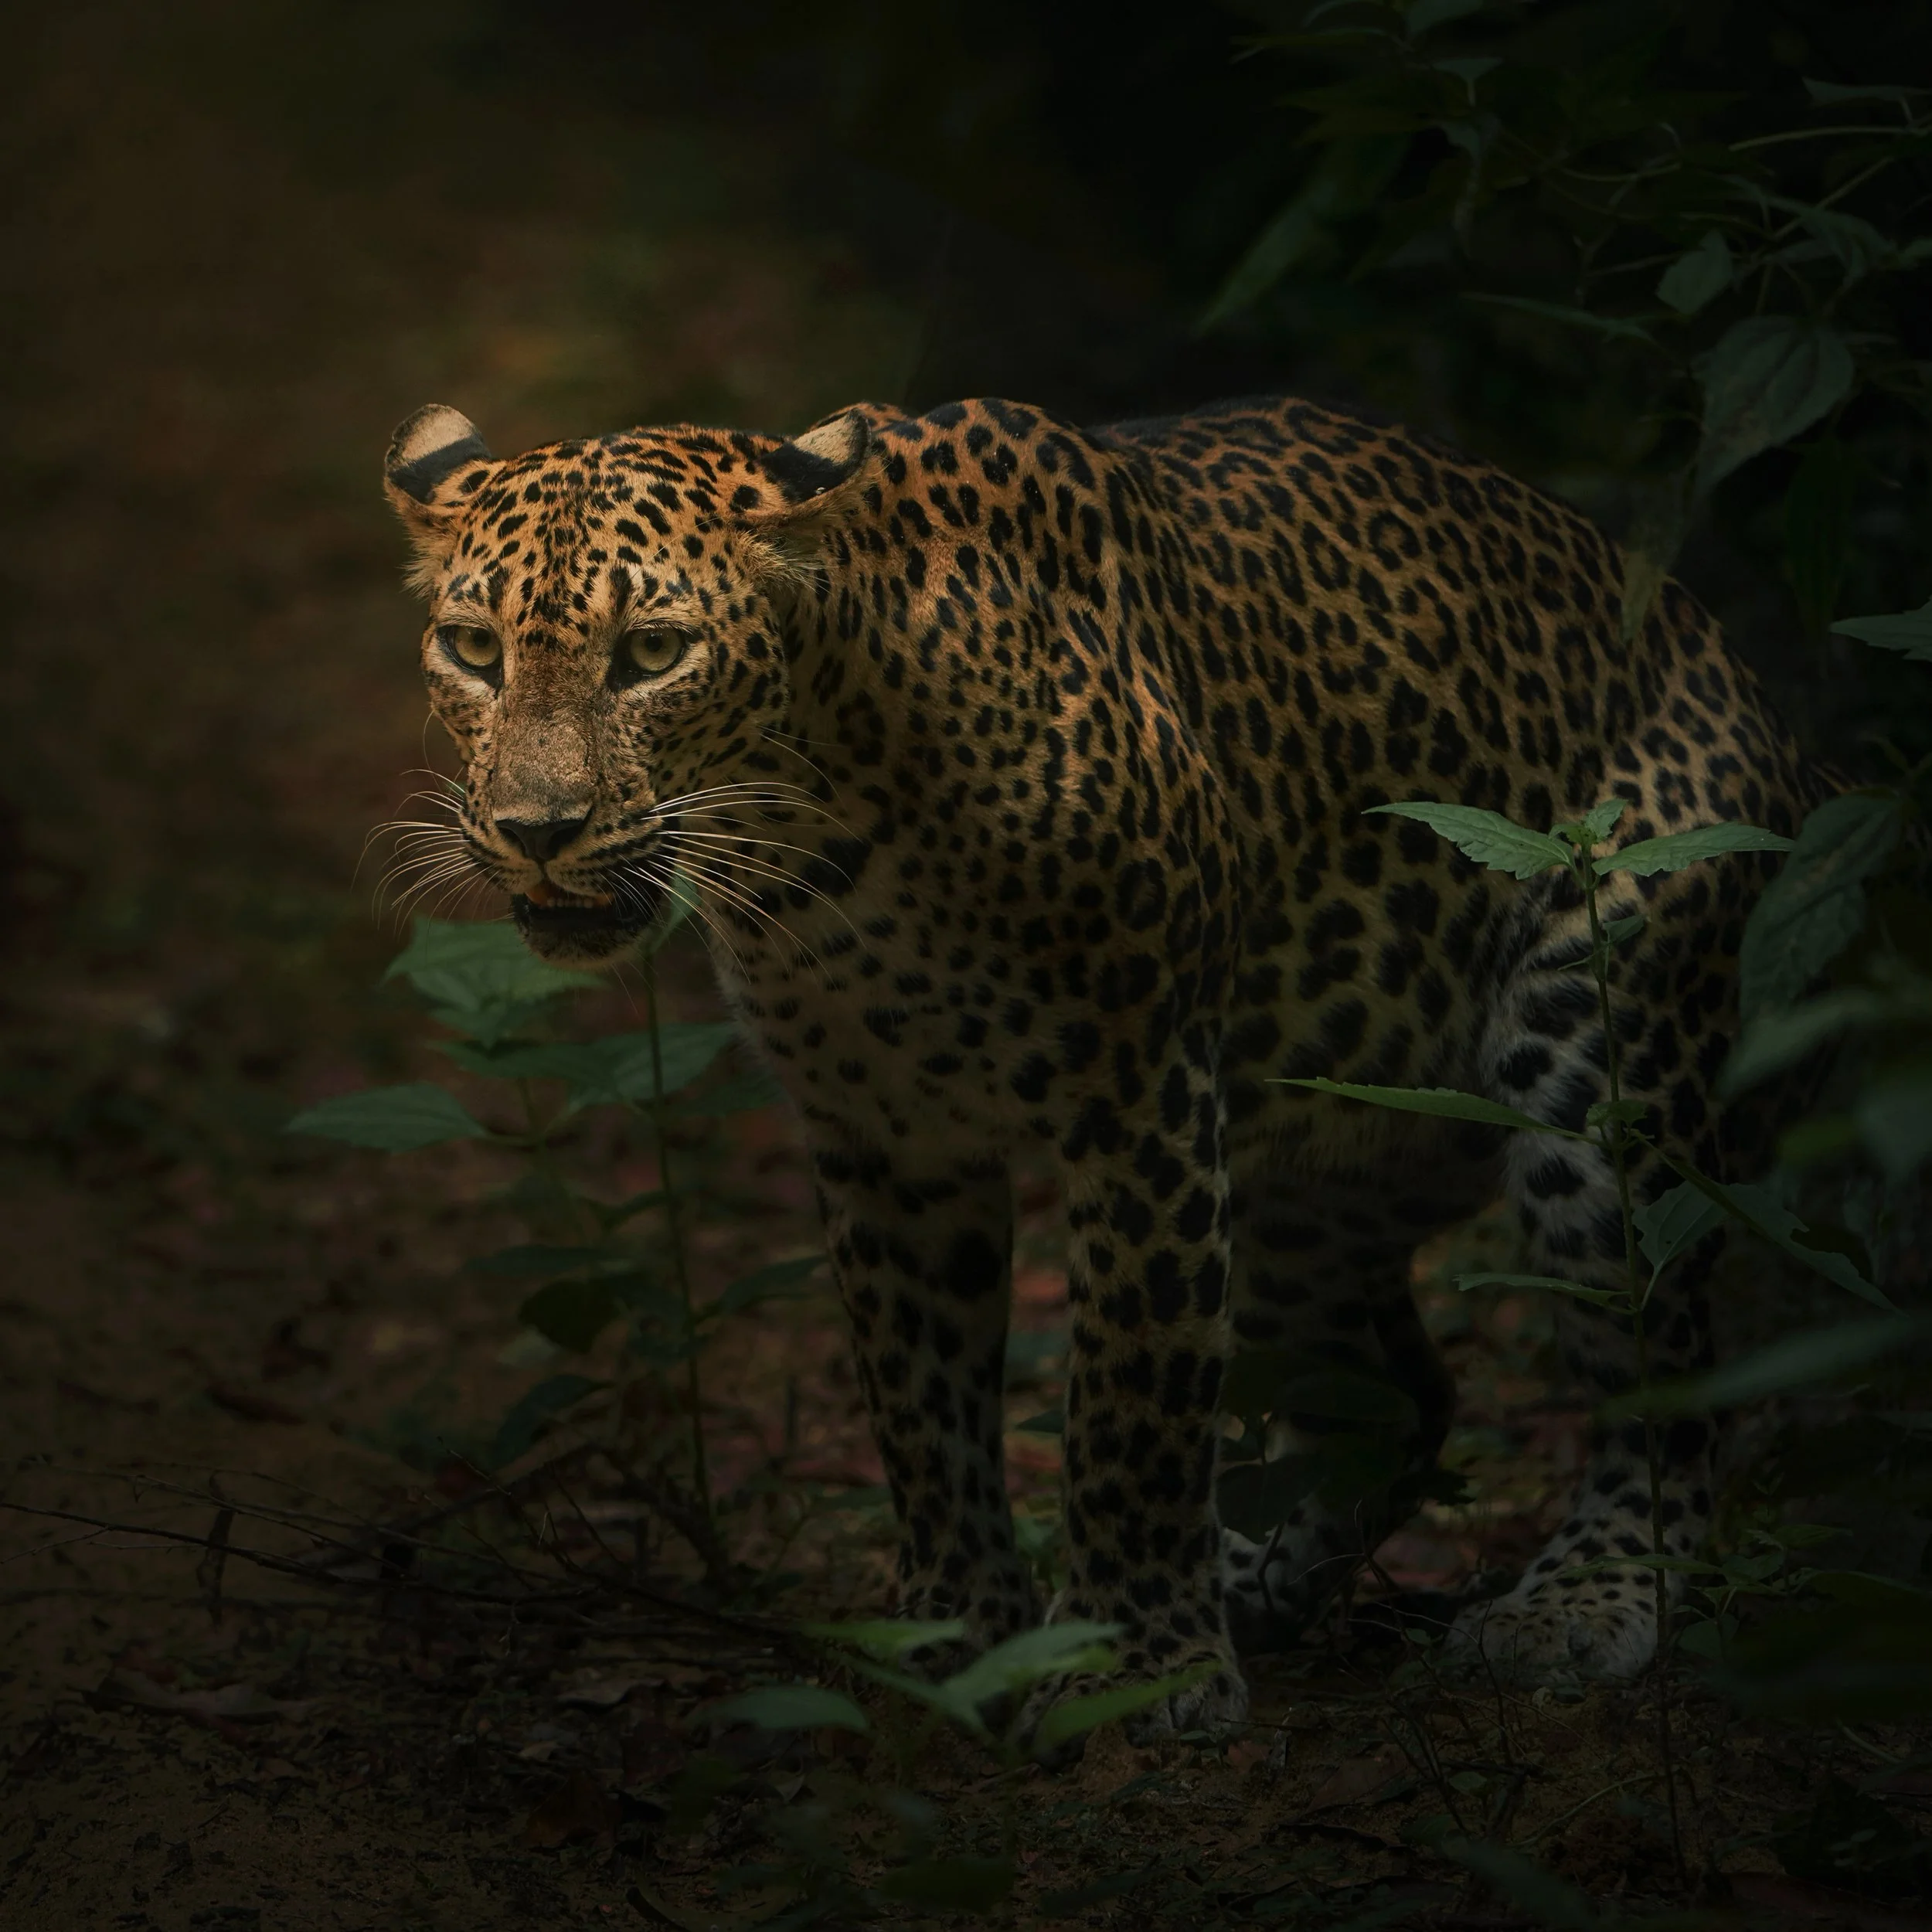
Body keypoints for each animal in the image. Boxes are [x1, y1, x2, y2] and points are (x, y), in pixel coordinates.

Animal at [380, 389, 1821, 1739]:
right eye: (471, 650)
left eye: (653, 654)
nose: (539, 829)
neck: (824, 833)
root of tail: (1738, 673)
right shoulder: (888, 1142)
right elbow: (923, 1410)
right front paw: (959, 1643)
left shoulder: (1143, 1103)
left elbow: (1135, 1401)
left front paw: (1136, 1668)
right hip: (1308, 1171)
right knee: (1400, 1402)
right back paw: (1254, 1584)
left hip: (1603, 1064)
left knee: (1669, 1388)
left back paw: (1577, 1602)